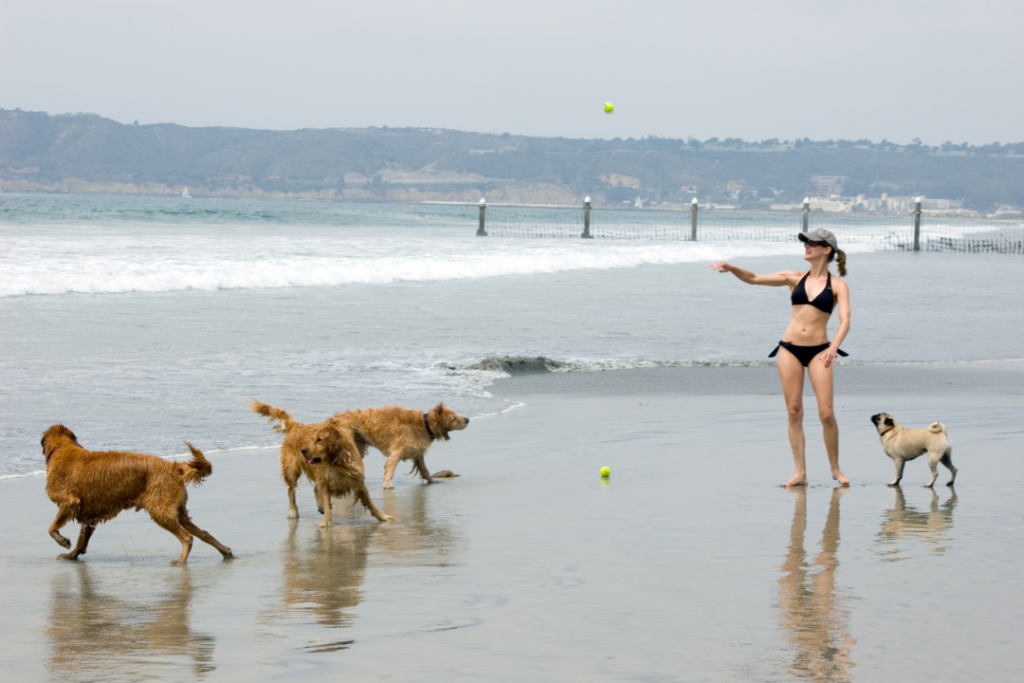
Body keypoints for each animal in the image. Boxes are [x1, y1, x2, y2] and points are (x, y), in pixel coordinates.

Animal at [40, 421, 233, 565]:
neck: (62, 448)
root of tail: (174, 467)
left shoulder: (69, 501)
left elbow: (51, 528)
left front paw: (63, 542)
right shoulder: (89, 514)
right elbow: (81, 540)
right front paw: (71, 554)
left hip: (160, 509)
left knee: (187, 537)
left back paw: (180, 561)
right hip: (178, 509)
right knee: (203, 533)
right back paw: (225, 551)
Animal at [248, 397, 391, 528]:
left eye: (319, 440)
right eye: (312, 439)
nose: (303, 450)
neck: (337, 462)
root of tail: (296, 426)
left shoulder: (358, 480)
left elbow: (370, 502)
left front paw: (382, 516)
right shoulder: (325, 481)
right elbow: (326, 500)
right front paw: (326, 521)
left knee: (314, 488)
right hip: (291, 468)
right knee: (291, 490)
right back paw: (293, 511)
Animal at [331, 403, 468, 489]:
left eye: (456, 415)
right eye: (454, 418)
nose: (467, 419)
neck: (425, 424)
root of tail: (336, 418)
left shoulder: (418, 453)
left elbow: (424, 469)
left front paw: (431, 480)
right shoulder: (397, 451)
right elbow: (390, 468)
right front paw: (387, 483)